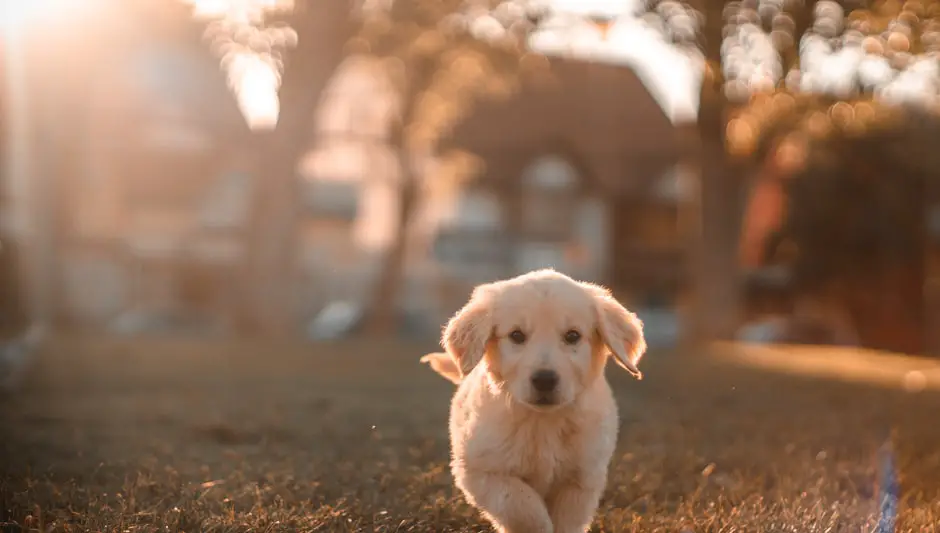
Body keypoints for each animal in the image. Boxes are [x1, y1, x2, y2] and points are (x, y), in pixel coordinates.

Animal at [420, 270, 648, 532]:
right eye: (516, 335)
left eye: (573, 336)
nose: (544, 380)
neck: (543, 421)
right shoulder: (482, 470)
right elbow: (523, 507)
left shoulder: (581, 480)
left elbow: (566, 522)